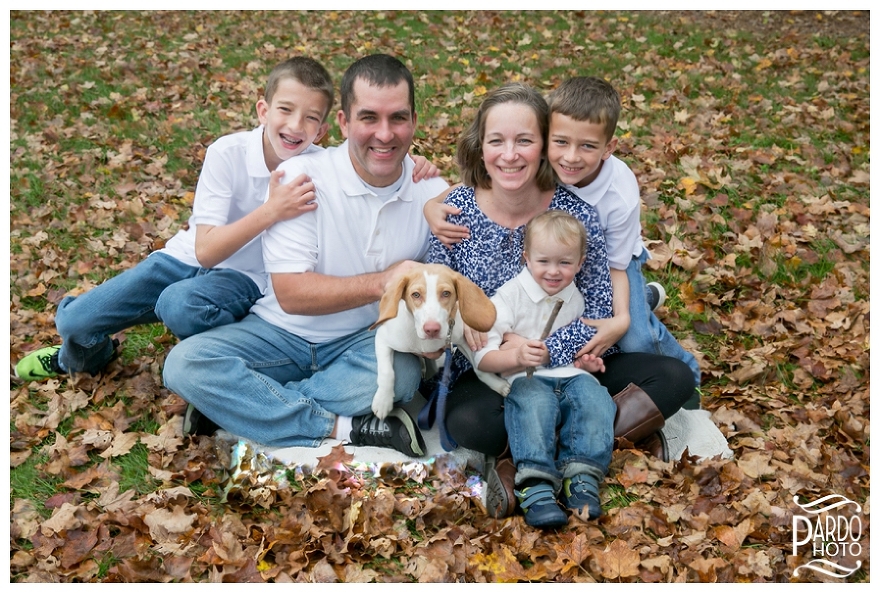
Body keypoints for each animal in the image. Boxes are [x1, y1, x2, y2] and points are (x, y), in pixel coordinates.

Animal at [370, 262, 508, 418]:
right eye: (416, 295)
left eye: (446, 293)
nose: (431, 329)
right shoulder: (382, 338)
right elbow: (386, 372)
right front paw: (383, 400)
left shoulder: (462, 340)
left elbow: (479, 368)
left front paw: (497, 384)